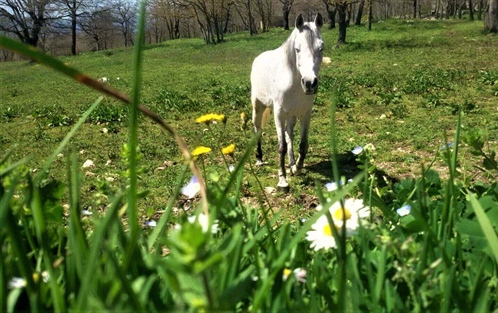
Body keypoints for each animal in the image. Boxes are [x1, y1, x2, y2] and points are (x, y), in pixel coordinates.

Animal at [251, 14, 324, 190]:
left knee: (289, 134)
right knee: (258, 128)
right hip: (258, 106)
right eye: (297, 49)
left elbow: (302, 144)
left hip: (292, 115)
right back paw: (259, 158)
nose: (309, 83)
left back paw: (291, 165)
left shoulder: (305, 113)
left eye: (321, 48)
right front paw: (282, 180)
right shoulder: (279, 114)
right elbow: (281, 146)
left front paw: (297, 167)